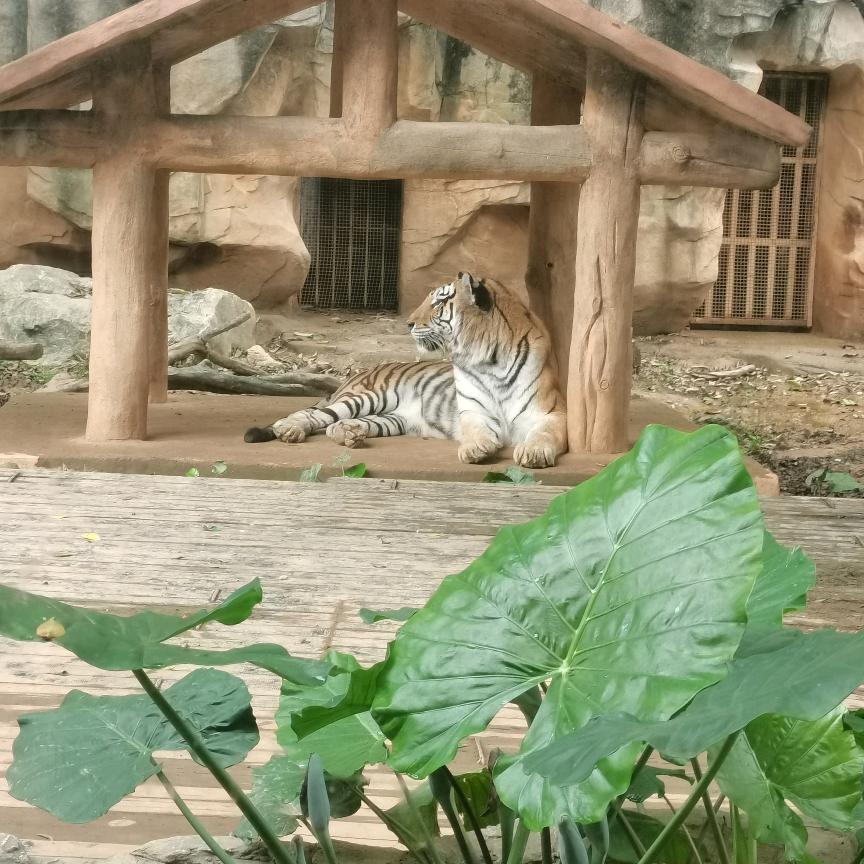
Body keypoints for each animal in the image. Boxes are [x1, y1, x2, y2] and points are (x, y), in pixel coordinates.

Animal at [244, 272, 568, 468]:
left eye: (439, 302)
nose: (409, 323)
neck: (490, 359)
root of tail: (354, 377)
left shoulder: (550, 413)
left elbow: (544, 433)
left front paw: (533, 452)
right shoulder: (473, 411)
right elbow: (475, 428)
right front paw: (477, 448)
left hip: (393, 418)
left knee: (334, 425)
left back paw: (349, 434)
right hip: (368, 397)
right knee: (312, 415)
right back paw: (290, 429)